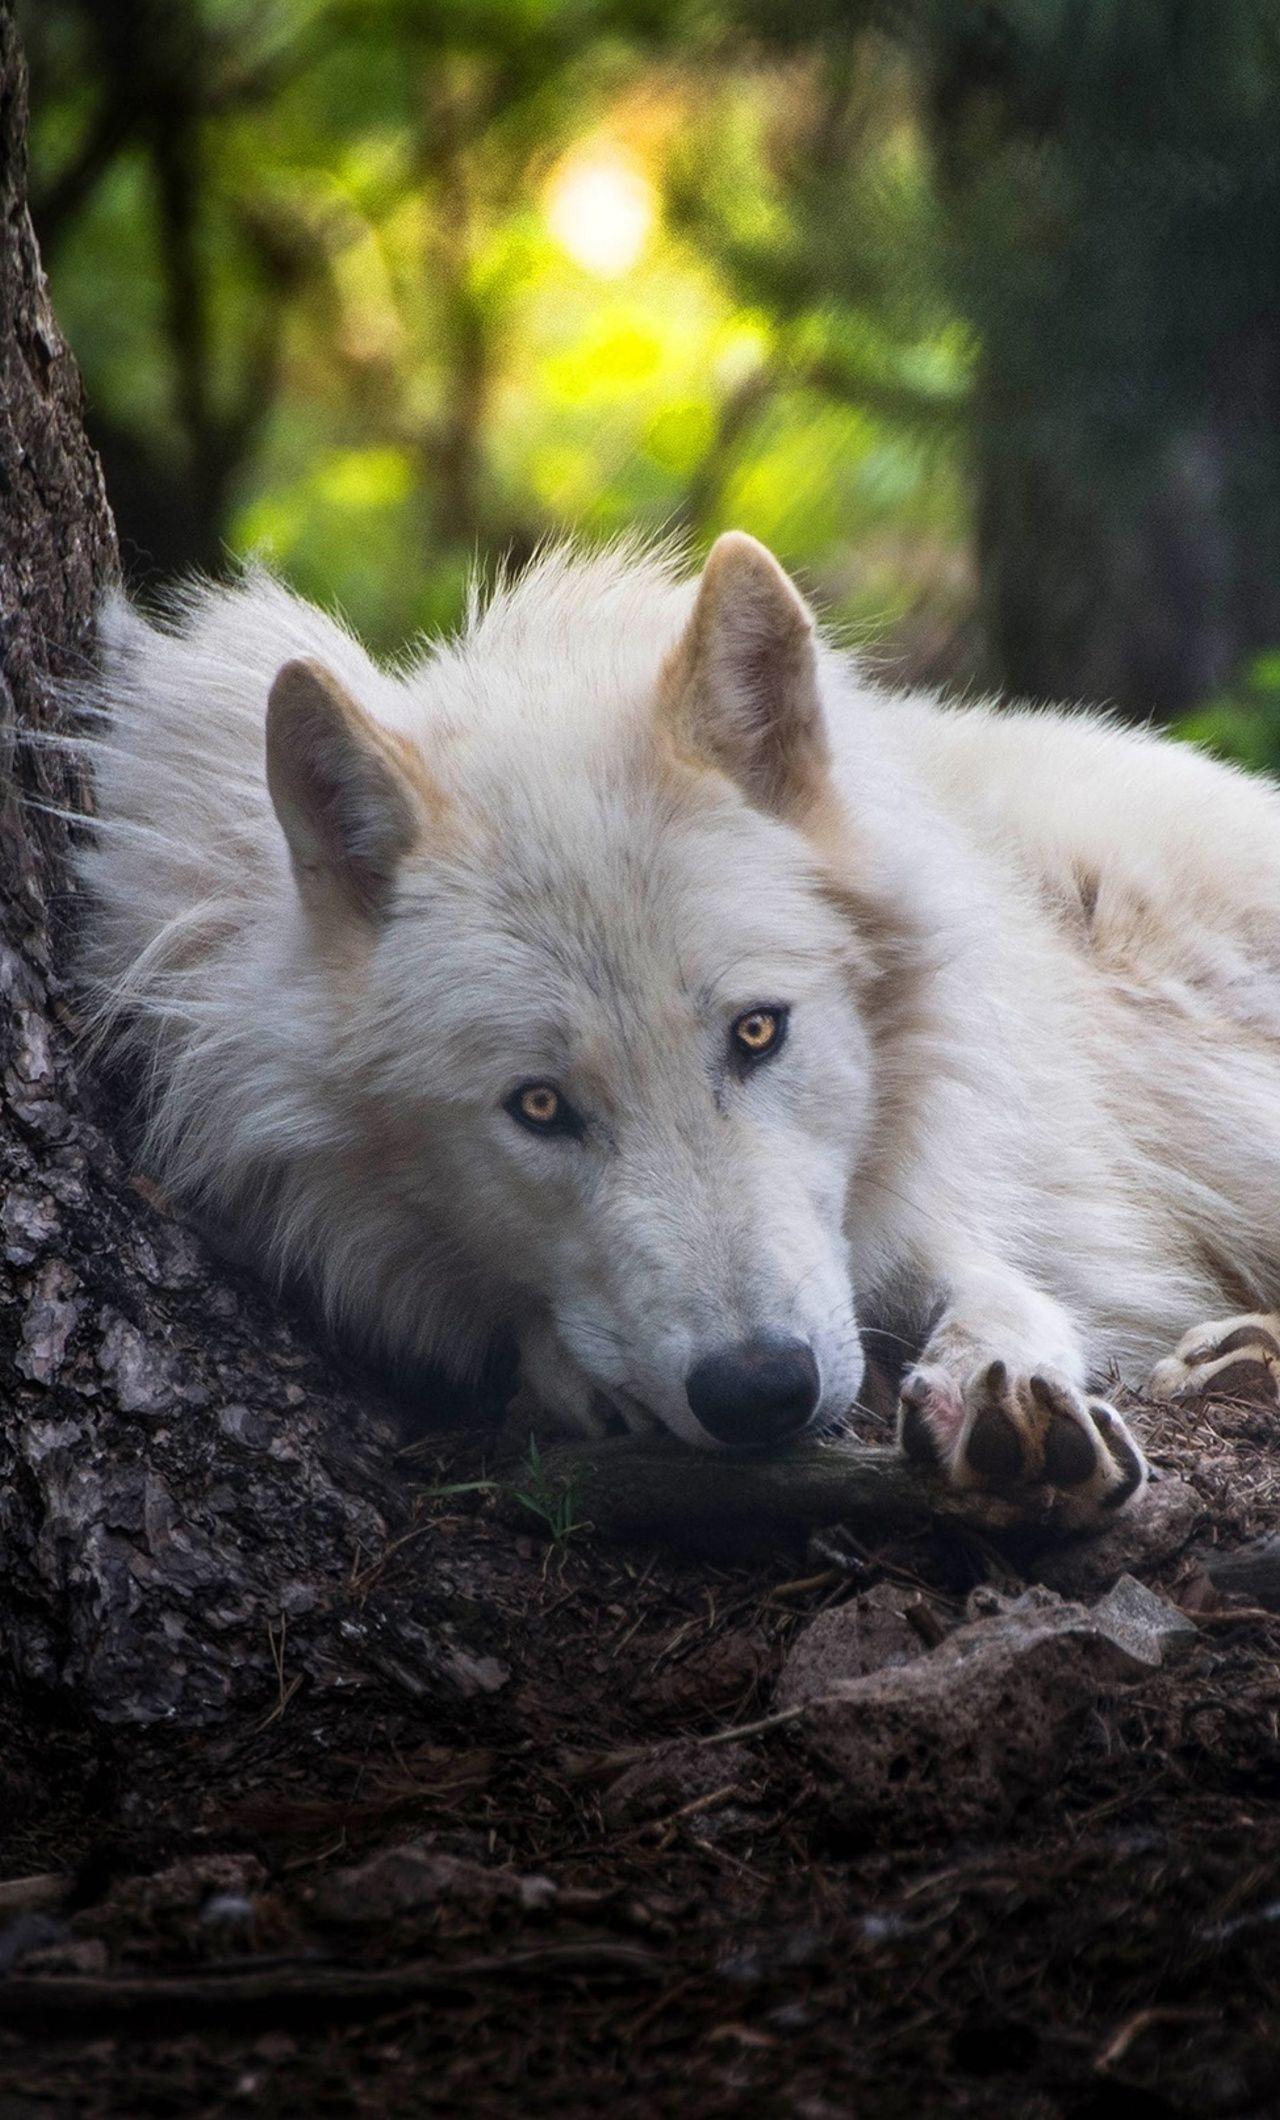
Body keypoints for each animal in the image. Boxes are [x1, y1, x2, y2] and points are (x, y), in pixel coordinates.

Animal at [77, 532, 1280, 1524]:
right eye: (539, 1105)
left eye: (756, 1033)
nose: (759, 1392)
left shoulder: (948, 1187)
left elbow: (987, 1285)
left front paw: (1003, 1397)